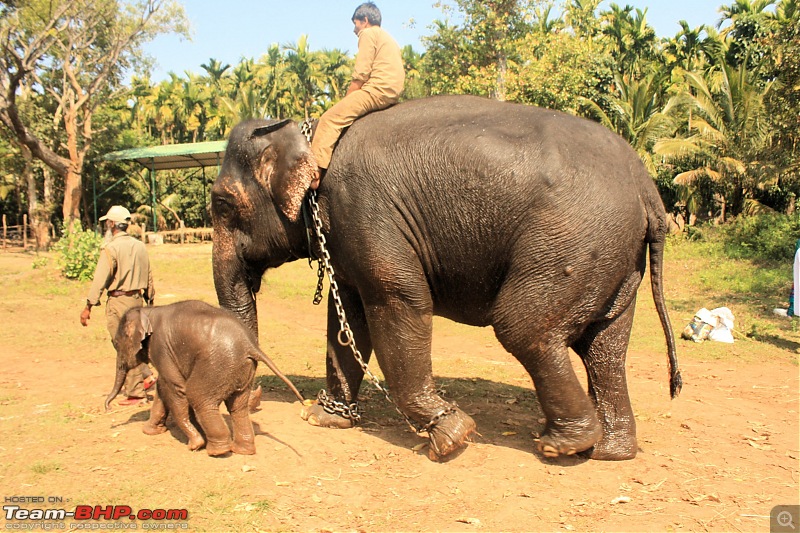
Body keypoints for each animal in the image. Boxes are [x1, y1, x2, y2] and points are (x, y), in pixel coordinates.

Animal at [104, 300, 304, 454]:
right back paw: (242, 450)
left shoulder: (160, 348)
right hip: (243, 370)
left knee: (198, 396)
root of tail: (250, 345)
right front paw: (151, 431)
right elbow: (163, 387)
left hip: (217, 364)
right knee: (238, 406)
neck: (148, 311)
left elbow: (175, 389)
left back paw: (217, 451)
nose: (107, 407)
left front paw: (195, 444)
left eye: (115, 343)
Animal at [212, 94, 680, 462]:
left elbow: (397, 301)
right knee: (605, 345)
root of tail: (645, 184)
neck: (309, 135)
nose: (256, 400)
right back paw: (610, 451)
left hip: (571, 241)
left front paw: (452, 437)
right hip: (613, 257)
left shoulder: (364, 209)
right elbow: (348, 319)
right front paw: (325, 418)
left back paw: (563, 445)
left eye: (221, 203)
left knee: (524, 326)